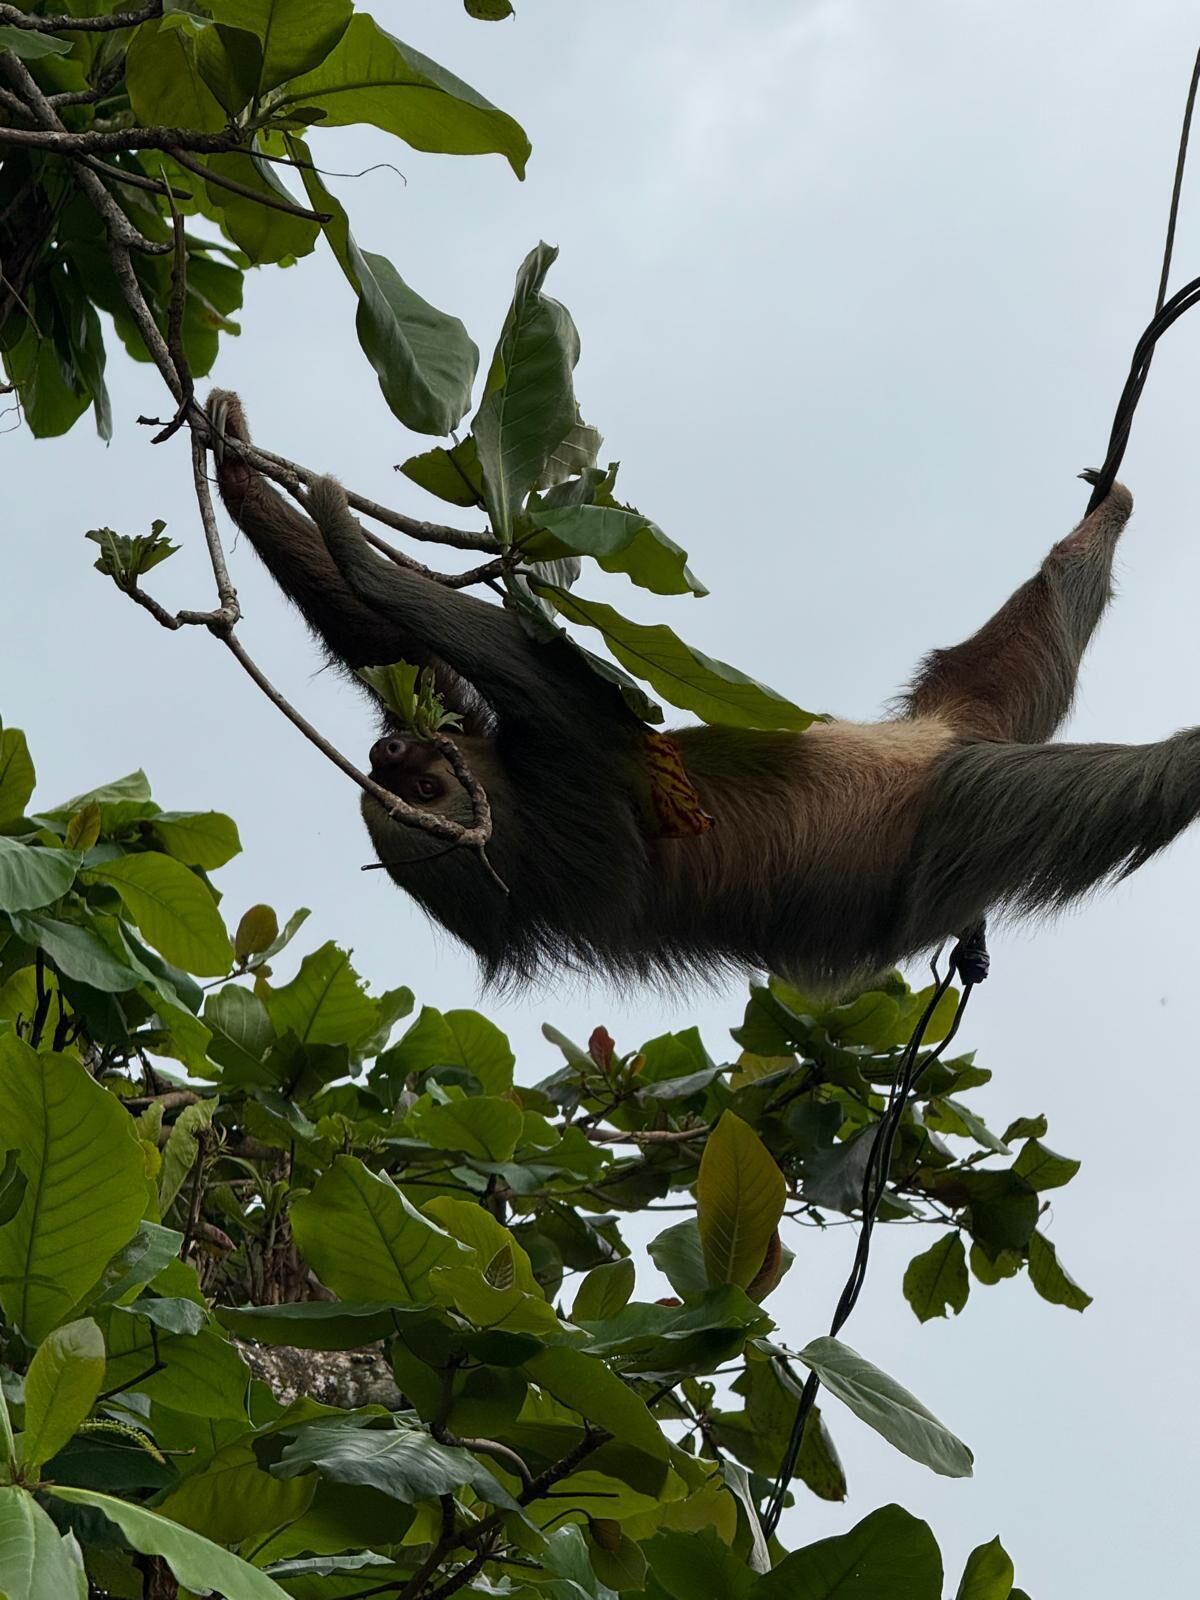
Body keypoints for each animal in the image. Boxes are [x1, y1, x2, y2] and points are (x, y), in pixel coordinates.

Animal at [207, 389, 1193, 992]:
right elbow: (550, 687)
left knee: (1022, 627)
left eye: (411, 777)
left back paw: (1109, 502)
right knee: (1089, 776)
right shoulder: (575, 796)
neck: (516, 813)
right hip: (959, 812)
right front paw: (347, 534)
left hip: (955, 704)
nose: (387, 749)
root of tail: (948, 736)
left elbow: (397, 654)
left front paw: (243, 469)